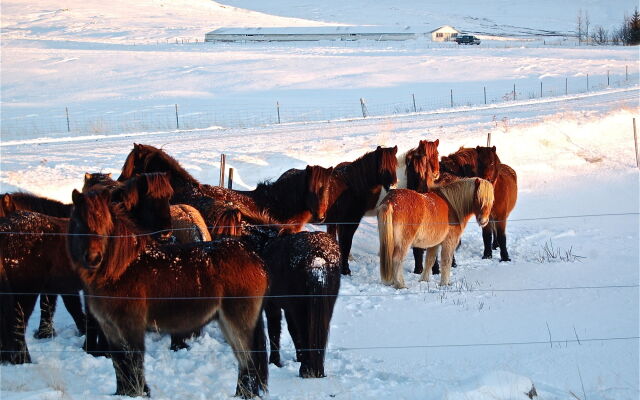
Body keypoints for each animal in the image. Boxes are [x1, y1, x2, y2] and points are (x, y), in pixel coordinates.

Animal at [322, 145, 398, 276]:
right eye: (382, 167)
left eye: (395, 165)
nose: (393, 187)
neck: (352, 186)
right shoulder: (350, 222)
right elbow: (346, 244)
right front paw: (345, 270)